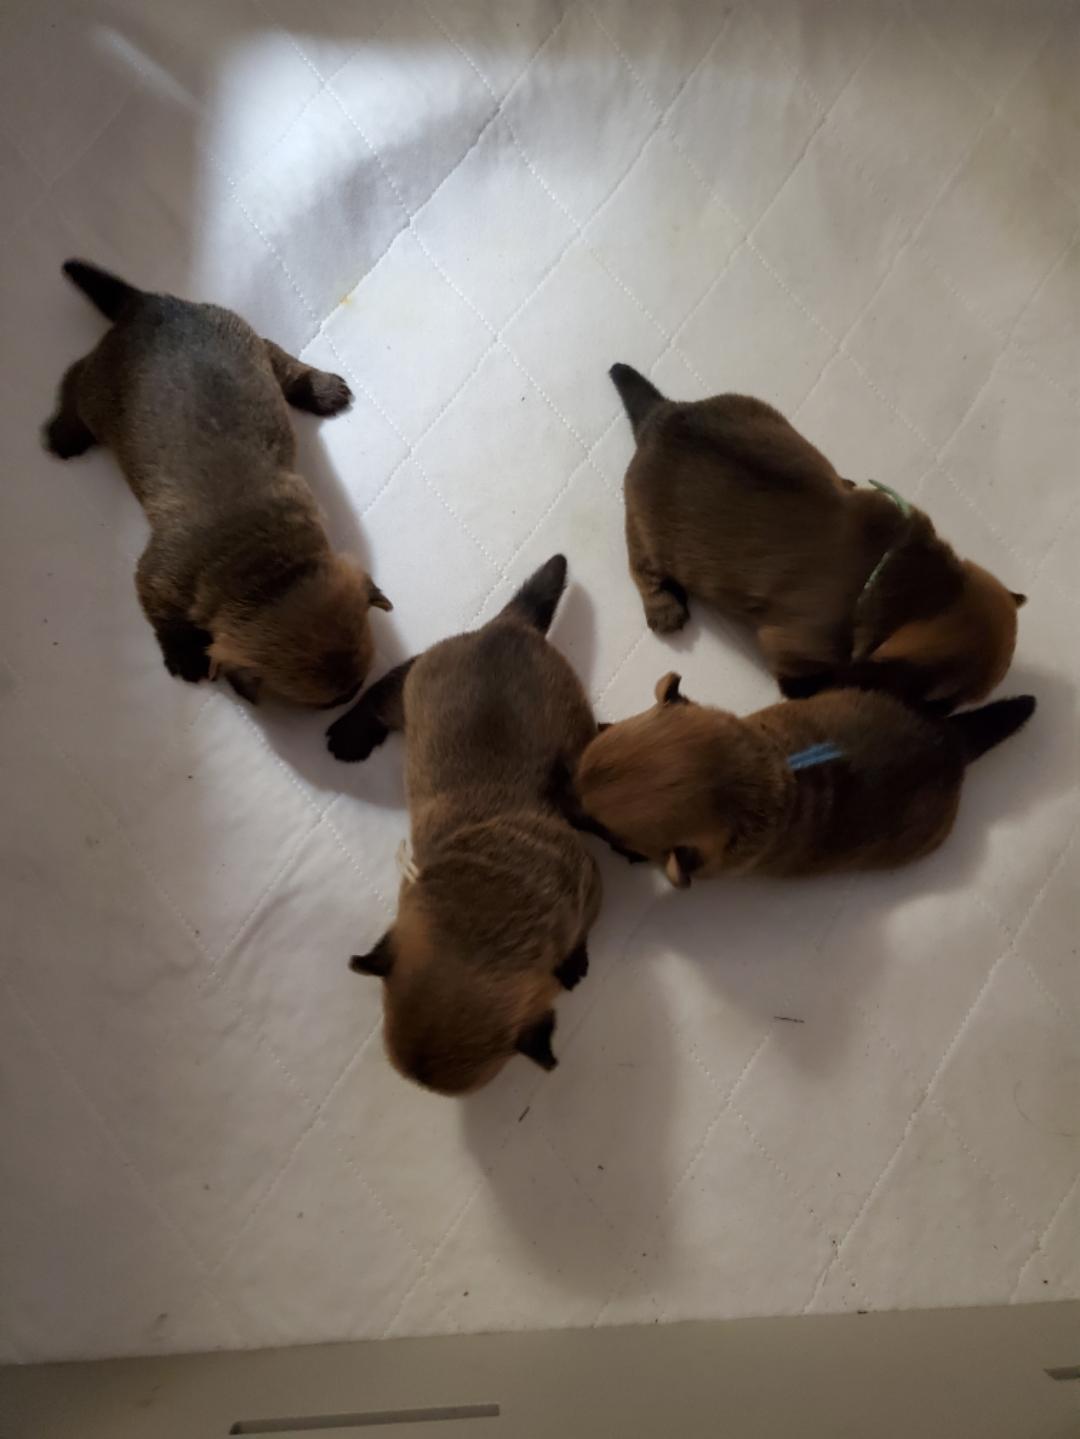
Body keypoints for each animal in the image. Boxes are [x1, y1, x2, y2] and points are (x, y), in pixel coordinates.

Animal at [43, 260, 391, 706]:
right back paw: (64, 434)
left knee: (283, 363)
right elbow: (166, 620)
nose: (352, 697)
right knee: (73, 380)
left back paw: (321, 389)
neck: (268, 572)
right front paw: (186, 655)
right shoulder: (154, 579)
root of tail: (151, 302)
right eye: (332, 701)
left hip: (251, 344)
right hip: (97, 397)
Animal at [330, 555, 602, 1095]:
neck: (480, 918)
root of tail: (506, 627)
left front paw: (574, 962)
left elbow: (582, 930)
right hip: (421, 691)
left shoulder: (590, 887)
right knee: (386, 689)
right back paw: (350, 734)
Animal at [609, 364, 1025, 711]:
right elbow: (819, 682)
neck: (893, 571)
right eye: (939, 702)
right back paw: (663, 607)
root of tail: (660, 414)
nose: (939, 719)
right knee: (639, 564)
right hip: (647, 530)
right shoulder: (793, 651)